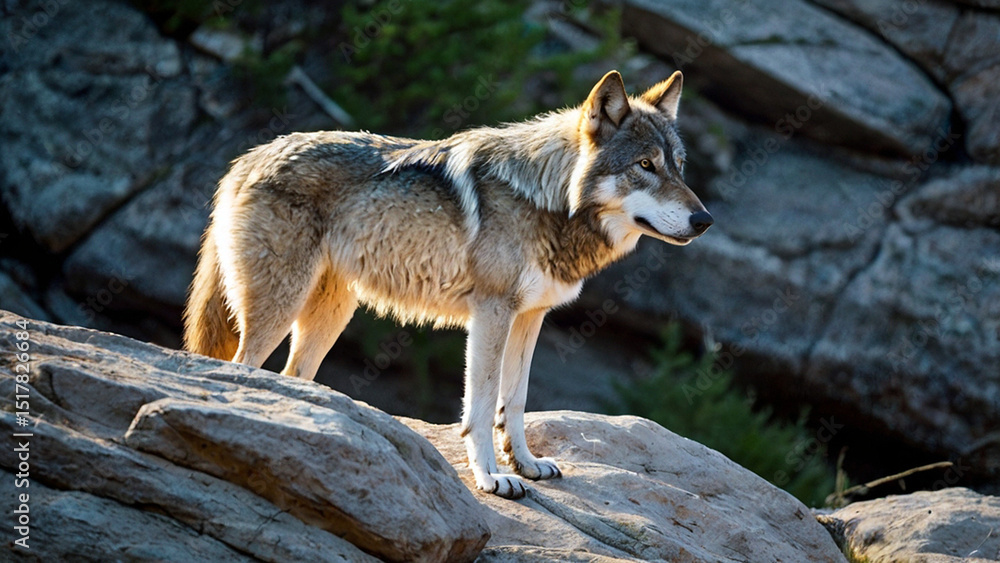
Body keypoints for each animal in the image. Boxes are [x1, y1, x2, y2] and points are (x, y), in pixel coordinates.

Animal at [184, 70, 712, 499]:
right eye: (644, 166)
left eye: (678, 165)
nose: (704, 220)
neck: (550, 200)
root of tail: (248, 156)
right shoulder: (492, 313)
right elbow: (480, 404)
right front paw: (493, 477)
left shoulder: (530, 317)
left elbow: (515, 401)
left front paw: (525, 463)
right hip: (279, 307)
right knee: (244, 366)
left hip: (330, 314)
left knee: (293, 376)